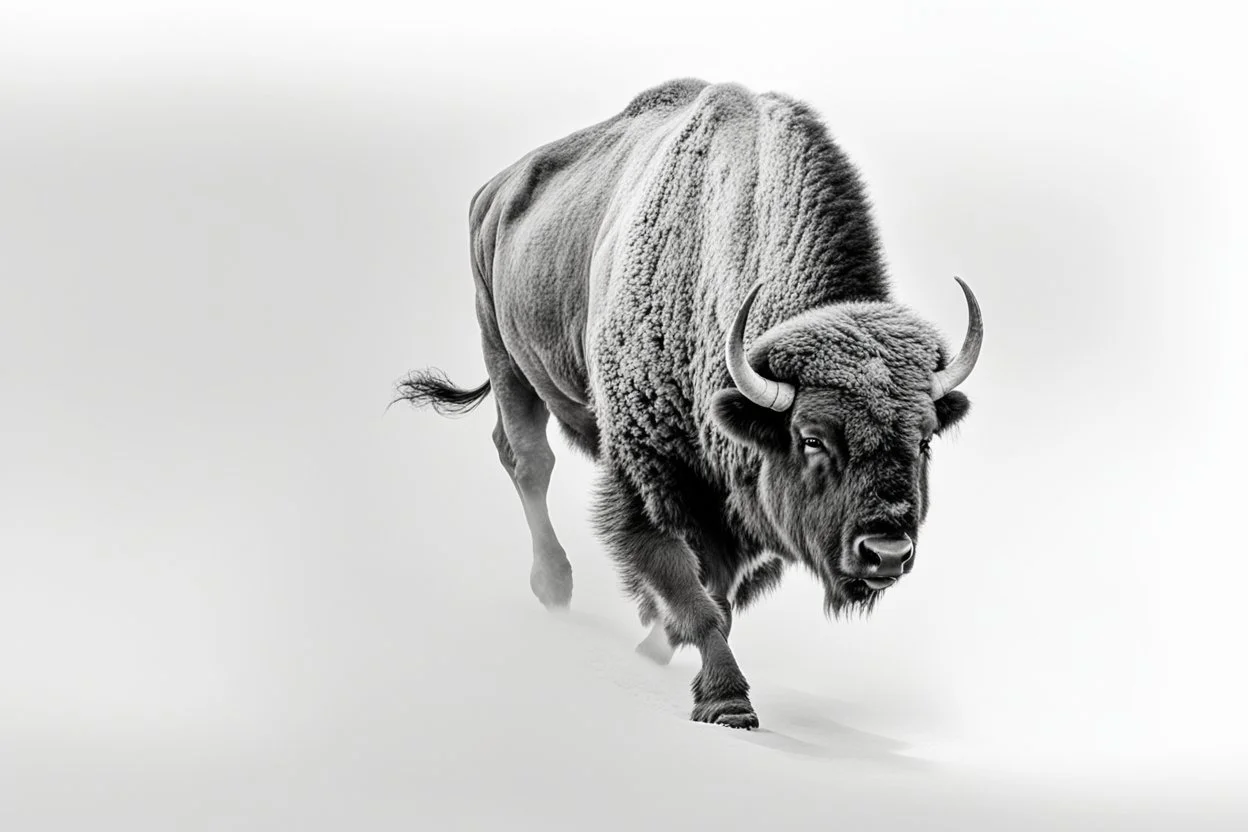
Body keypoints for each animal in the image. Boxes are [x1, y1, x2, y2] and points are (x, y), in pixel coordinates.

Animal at [399, 77, 983, 728]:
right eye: (811, 437)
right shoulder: (650, 478)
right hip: (503, 352)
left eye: (925, 439)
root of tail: (494, 192)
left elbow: (717, 595)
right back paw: (555, 589)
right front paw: (728, 703)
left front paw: (658, 646)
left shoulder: (747, 506)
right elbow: (689, 588)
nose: (886, 552)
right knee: (529, 461)